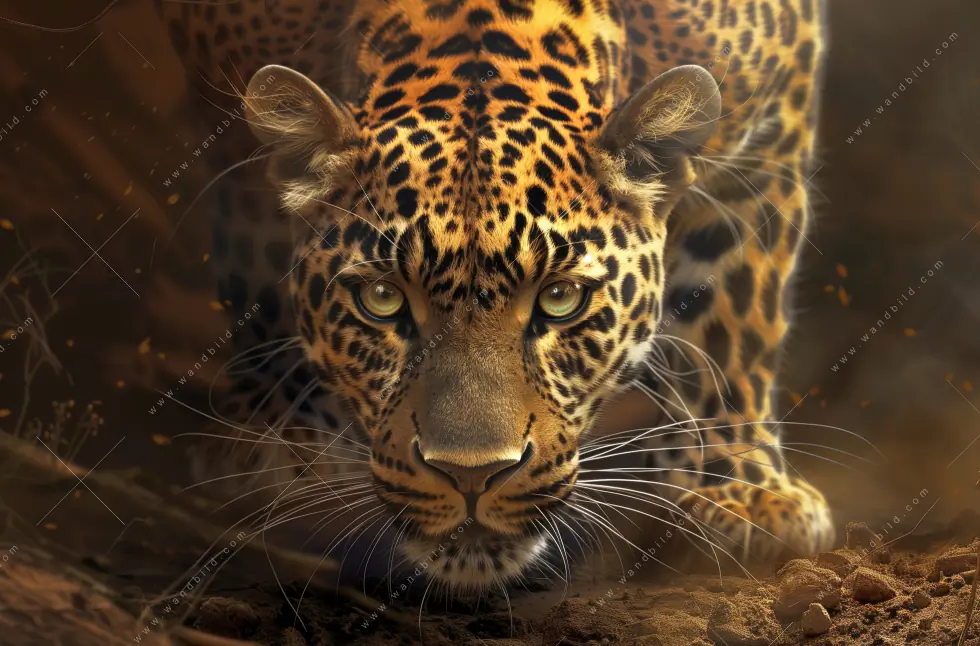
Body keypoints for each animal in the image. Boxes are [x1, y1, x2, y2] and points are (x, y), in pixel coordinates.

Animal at [156, 0, 834, 590]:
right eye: (382, 298)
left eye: (561, 298)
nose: (472, 476)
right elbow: (254, 257)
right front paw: (278, 442)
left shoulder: (771, 125)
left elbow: (732, 320)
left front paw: (744, 488)